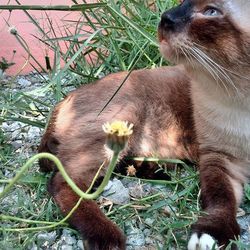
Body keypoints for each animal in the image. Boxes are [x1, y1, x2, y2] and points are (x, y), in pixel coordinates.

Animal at [38, 0, 250, 249]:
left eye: (211, 11)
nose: (165, 17)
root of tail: (65, 99)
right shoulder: (220, 158)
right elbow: (221, 199)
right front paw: (211, 235)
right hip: (125, 117)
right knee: (62, 182)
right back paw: (107, 236)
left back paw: (153, 170)